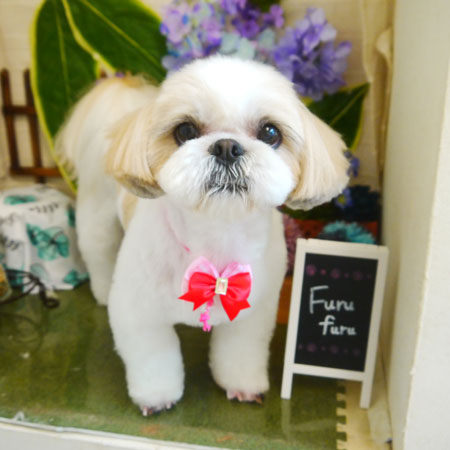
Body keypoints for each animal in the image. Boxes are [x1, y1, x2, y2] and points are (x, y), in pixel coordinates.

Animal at [56, 56, 348, 415]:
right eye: (185, 131)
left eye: (270, 132)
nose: (226, 146)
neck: (214, 239)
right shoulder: (138, 313)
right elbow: (153, 360)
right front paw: (157, 397)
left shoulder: (252, 312)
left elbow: (240, 352)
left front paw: (242, 386)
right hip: (97, 213)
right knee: (98, 251)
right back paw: (100, 290)